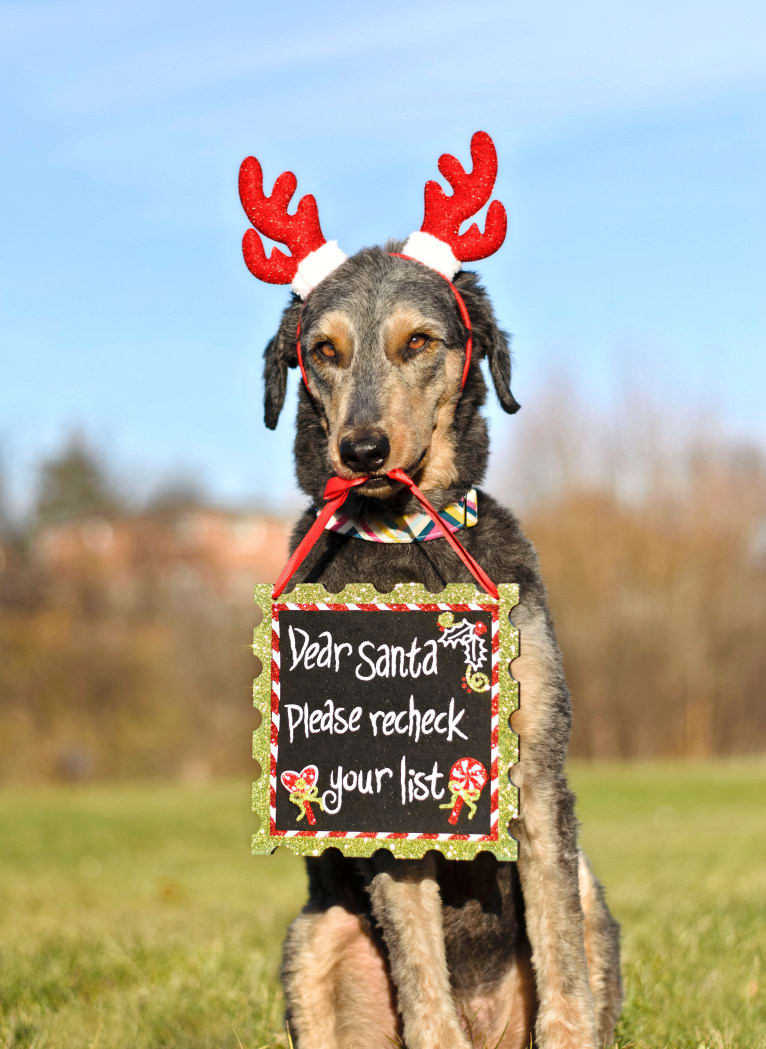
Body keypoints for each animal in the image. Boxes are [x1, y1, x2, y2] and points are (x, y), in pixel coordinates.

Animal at [239, 135, 621, 1044]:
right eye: (323, 350)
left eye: (419, 342)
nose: (362, 449)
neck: (406, 542)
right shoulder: (379, 794)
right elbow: (422, 982)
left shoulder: (539, 782)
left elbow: (561, 968)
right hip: (313, 935)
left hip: (592, 884)